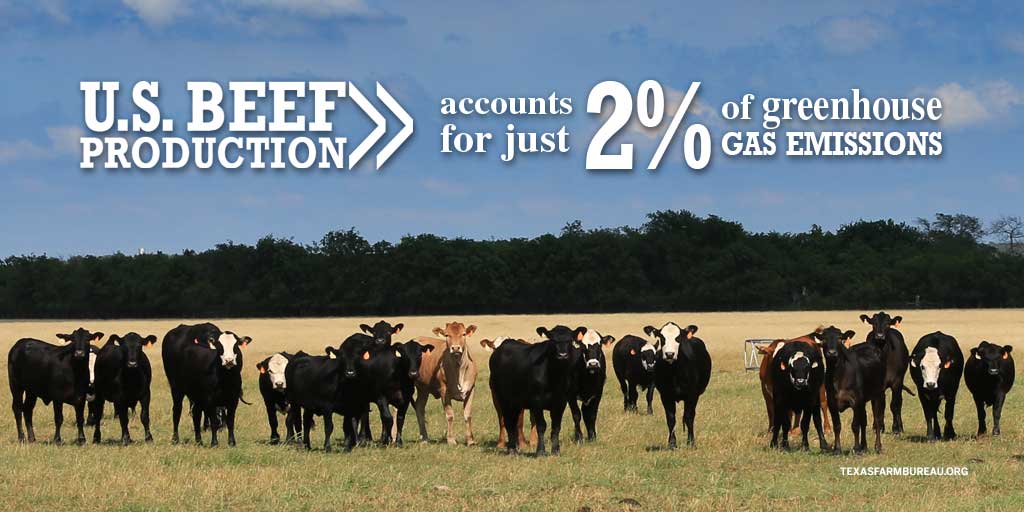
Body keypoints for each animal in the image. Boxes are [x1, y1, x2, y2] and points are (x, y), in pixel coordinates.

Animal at [489, 325, 587, 454]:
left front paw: (556, 450)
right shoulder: (536, 402)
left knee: (514, 422)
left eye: (570, 340)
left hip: (515, 402)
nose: (562, 355)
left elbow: (556, 426)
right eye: (552, 340)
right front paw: (540, 451)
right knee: (508, 421)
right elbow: (541, 425)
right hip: (502, 399)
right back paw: (511, 449)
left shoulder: (560, 402)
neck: (555, 377)